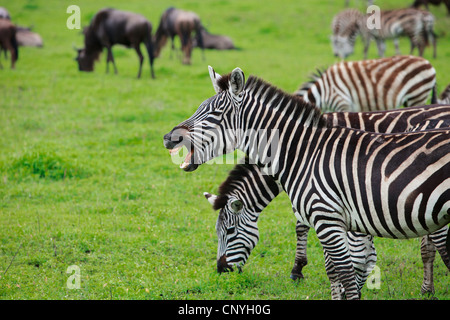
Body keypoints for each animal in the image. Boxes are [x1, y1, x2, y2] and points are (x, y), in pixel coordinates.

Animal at [163, 66, 450, 298]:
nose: (221, 270)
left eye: (230, 232)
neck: (300, 150)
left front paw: (298, 269)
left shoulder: (333, 210)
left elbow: (330, 251)